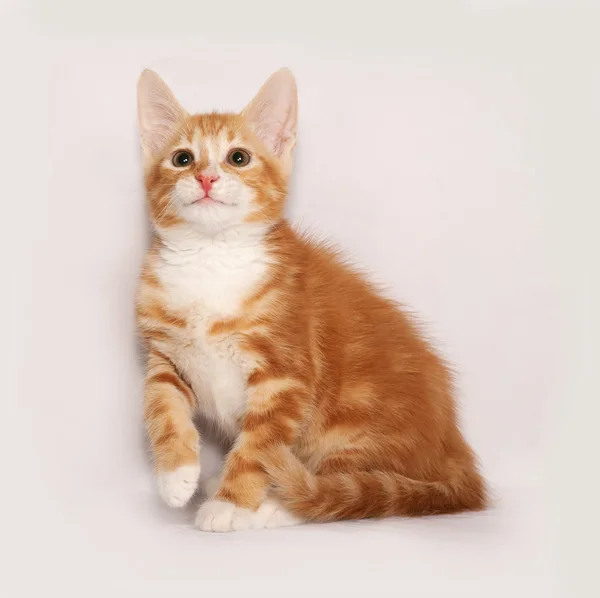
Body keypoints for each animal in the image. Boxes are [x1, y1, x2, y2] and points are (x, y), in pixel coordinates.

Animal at [134, 68, 486, 532]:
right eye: (182, 159)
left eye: (238, 158)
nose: (206, 178)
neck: (211, 257)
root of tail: (455, 449)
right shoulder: (164, 357)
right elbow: (161, 406)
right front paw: (176, 475)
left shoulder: (285, 375)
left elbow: (258, 446)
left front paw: (231, 503)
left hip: (358, 428)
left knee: (346, 491)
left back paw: (276, 503)